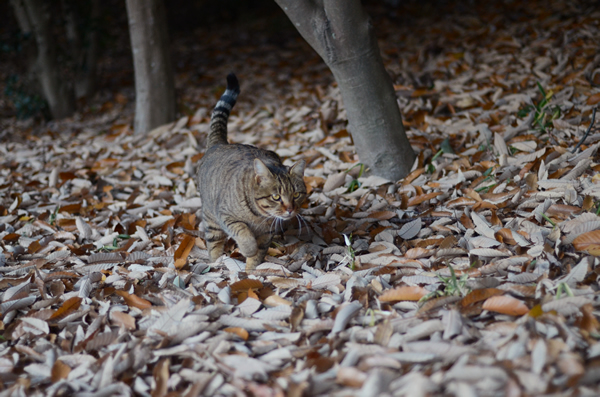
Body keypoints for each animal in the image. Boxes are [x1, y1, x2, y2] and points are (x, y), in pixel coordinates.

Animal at [197, 73, 308, 270]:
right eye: (276, 197)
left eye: (296, 195)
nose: (290, 210)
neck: (259, 218)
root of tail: (220, 143)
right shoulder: (226, 215)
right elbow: (243, 231)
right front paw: (248, 249)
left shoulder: (266, 234)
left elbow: (258, 255)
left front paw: (251, 271)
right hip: (211, 221)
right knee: (214, 245)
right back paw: (216, 263)